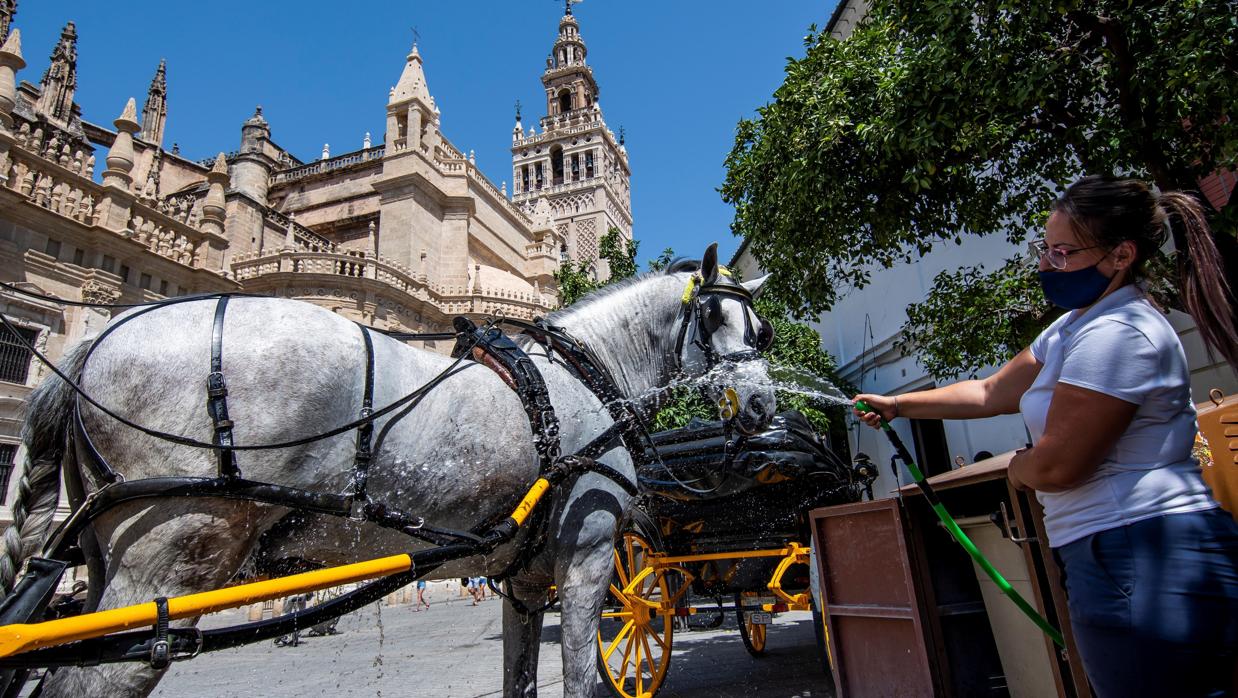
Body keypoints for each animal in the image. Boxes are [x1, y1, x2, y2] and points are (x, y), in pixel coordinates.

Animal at [0, 243, 772, 693]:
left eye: (761, 331)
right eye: (721, 323)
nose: (765, 403)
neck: (581, 374)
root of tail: (90, 346)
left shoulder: (523, 577)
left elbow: (521, 679)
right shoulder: (584, 554)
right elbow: (583, 677)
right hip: (168, 559)